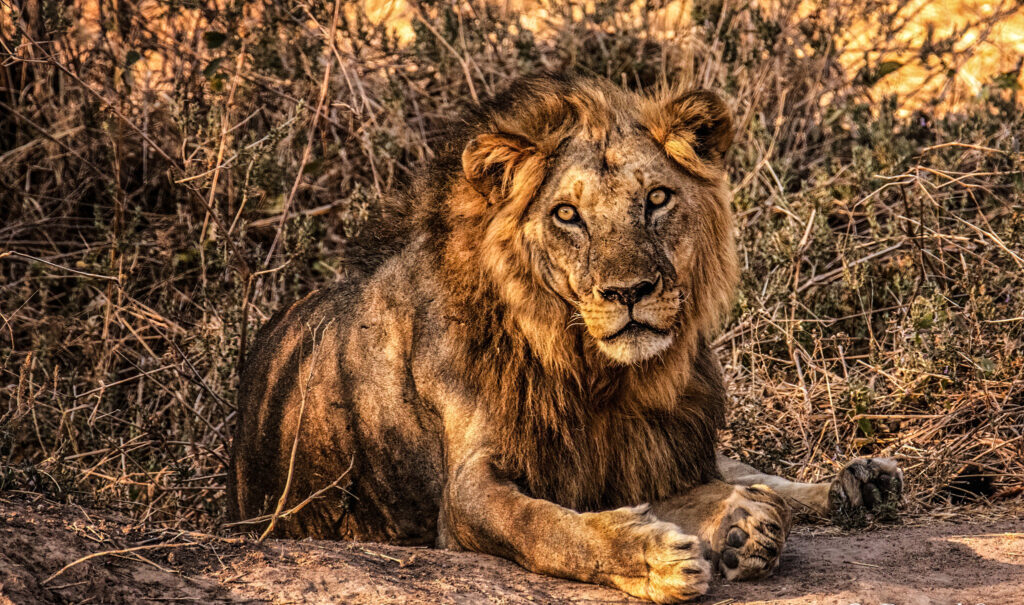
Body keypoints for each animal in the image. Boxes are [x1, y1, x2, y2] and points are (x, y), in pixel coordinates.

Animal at [228, 73, 901, 601]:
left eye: (657, 199)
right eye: (567, 215)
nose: (629, 291)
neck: (598, 375)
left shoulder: (643, 446)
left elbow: (702, 486)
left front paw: (739, 521)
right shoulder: (466, 493)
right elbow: (545, 526)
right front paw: (659, 557)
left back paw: (859, 485)